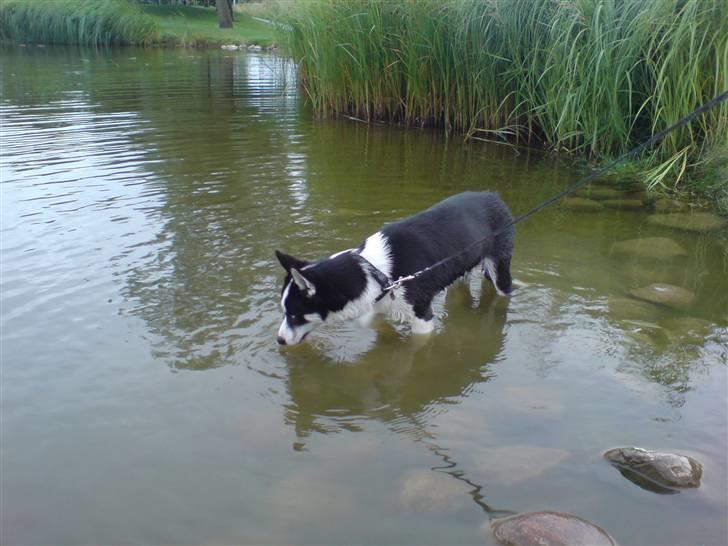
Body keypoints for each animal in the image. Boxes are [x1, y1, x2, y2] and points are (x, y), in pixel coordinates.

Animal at [276, 191, 516, 344]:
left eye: (294, 315)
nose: (279, 340)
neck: (376, 272)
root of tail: (494, 196)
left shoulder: (422, 316)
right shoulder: (377, 303)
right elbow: (368, 321)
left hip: (499, 268)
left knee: (504, 293)